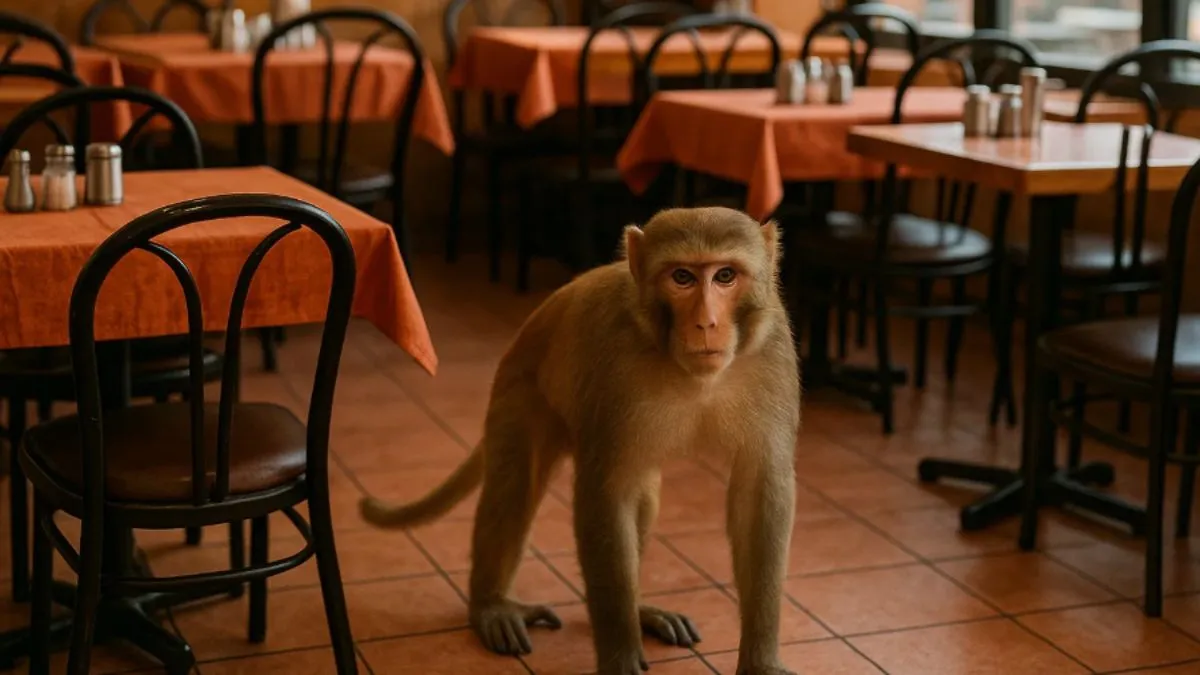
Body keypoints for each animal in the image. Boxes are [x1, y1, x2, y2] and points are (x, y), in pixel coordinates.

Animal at [360, 207, 800, 675]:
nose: (706, 323)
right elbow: (605, 497)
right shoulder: (616, 363)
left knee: (642, 492)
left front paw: (760, 662)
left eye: (725, 276)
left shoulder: (773, 352)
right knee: (516, 486)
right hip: (520, 396)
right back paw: (491, 606)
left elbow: (760, 494)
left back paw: (639, 610)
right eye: (682, 277)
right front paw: (620, 657)